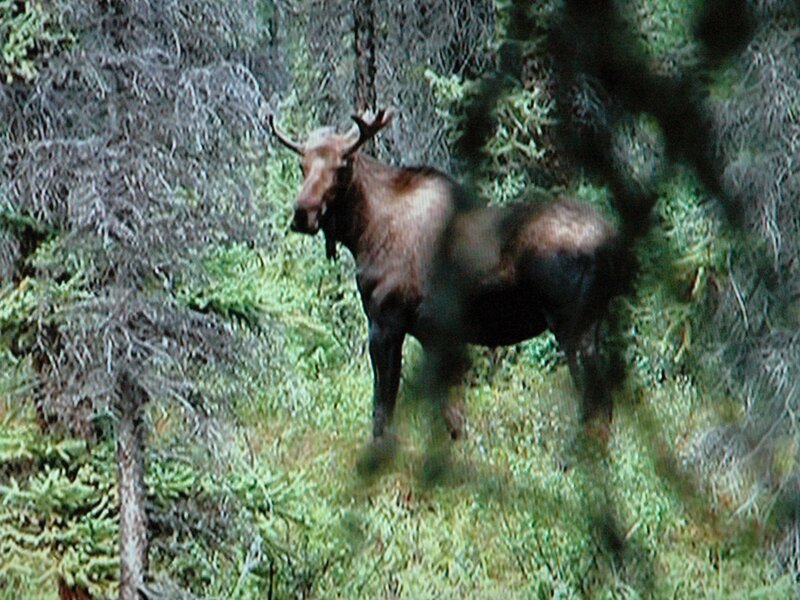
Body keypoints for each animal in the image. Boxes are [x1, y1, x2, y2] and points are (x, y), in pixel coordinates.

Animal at [268, 108, 631, 441]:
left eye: (343, 165)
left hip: (572, 325)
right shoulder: (434, 335)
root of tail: (615, 243)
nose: (302, 214)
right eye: (302, 165)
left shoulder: (385, 322)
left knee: (595, 404)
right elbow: (452, 419)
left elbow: (383, 408)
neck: (363, 234)